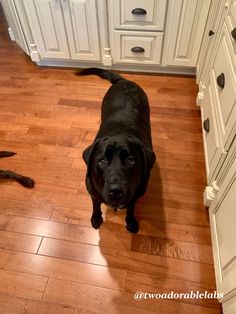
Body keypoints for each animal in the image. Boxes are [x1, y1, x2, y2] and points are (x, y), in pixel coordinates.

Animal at [77, 68, 157, 233]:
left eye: (131, 161)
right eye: (102, 161)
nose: (115, 190)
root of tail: (123, 80)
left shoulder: (136, 194)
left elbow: (131, 207)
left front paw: (131, 221)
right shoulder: (92, 190)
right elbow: (95, 204)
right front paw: (96, 218)